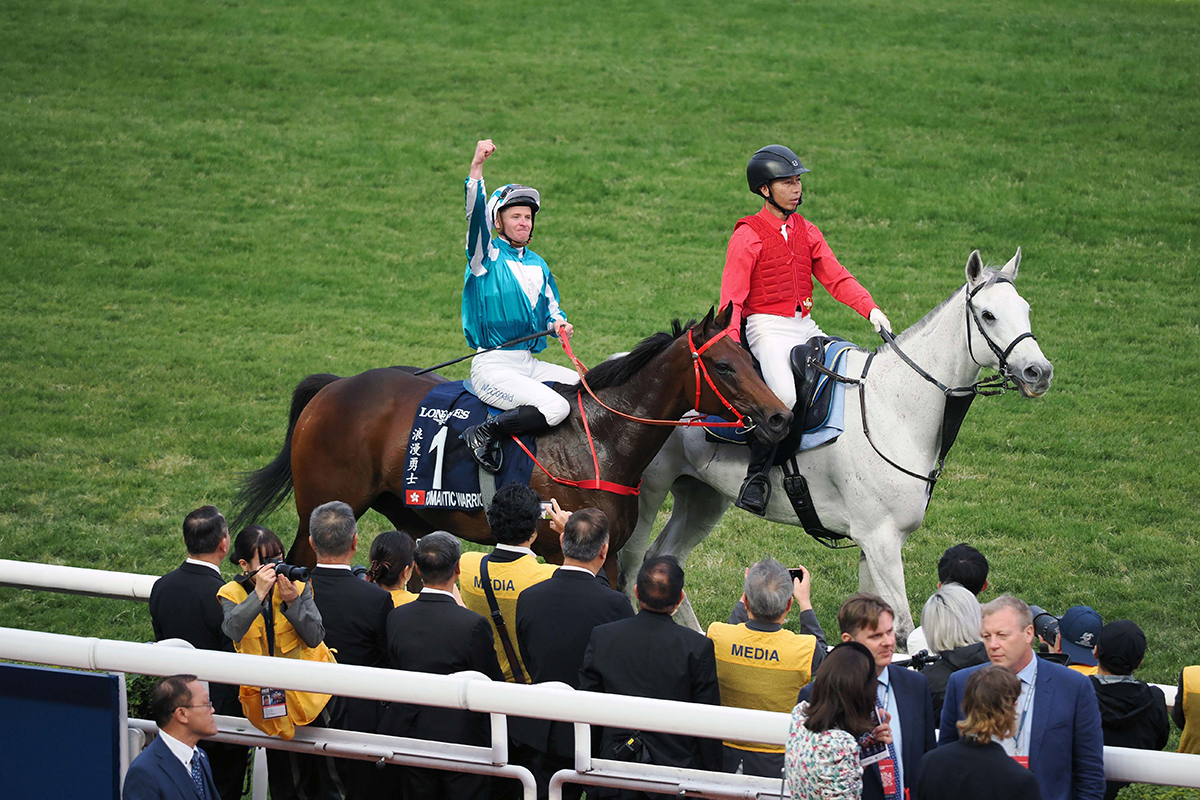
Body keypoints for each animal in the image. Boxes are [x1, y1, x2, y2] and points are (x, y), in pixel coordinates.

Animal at [234, 303, 796, 578]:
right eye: (724, 365)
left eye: (750, 357)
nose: (779, 418)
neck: (599, 440)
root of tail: (333, 387)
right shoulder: (559, 550)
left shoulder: (609, 553)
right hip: (324, 509)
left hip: (410, 517)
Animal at [624, 250, 1056, 642]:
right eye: (988, 315)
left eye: (1026, 309)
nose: (1040, 372)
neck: (892, 406)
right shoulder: (881, 540)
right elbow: (902, 628)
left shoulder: (876, 543)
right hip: (648, 496)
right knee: (631, 565)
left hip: (704, 497)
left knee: (664, 559)